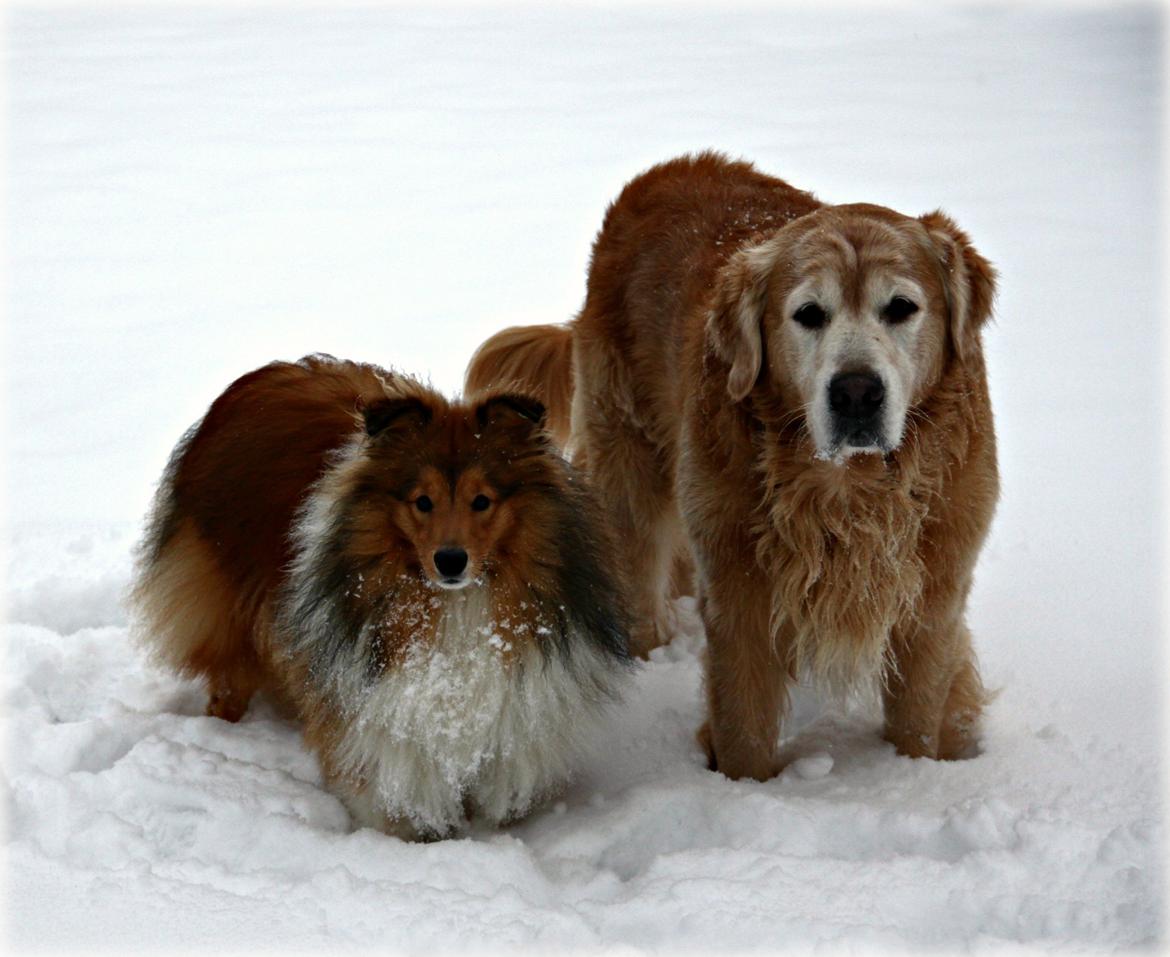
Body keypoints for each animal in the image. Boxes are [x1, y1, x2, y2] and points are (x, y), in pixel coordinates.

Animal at [470, 153, 1001, 781]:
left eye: (901, 308)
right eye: (808, 314)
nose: (855, 393)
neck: (849, 487)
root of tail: (661, 173)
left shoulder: (933, 596)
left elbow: (917, 718)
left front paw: (914, 772)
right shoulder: (739, 590)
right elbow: (743, 722)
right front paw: (745, 787)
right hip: (630, 468)